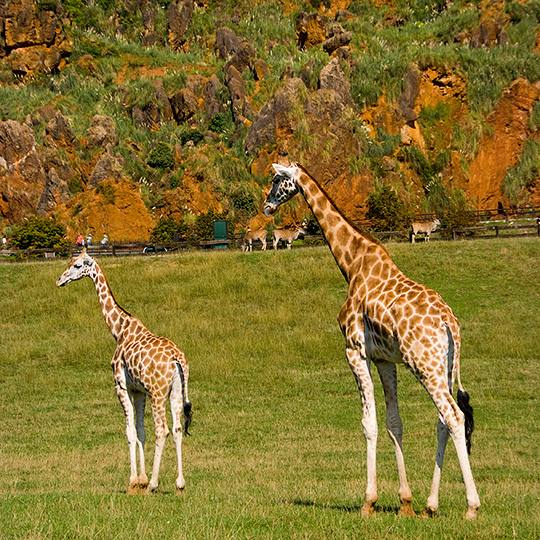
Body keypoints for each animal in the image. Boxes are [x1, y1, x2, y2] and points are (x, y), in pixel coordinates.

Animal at [56, 249, 192, 494]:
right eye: (70, 262)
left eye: (78, 265)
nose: (60, 280)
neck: (118, 330)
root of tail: (177, 360)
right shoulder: (138, 391)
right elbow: (140, 431)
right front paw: (141, 479)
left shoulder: (120, 385)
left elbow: (130, 432)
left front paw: (134, 481)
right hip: (177, 390)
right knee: (177, 429)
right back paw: (179, 483)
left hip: (158, 393)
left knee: (162, 430)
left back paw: (154, 485)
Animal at [264, 163, 478, 520]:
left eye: (277, 179)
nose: (267, 206)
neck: (351, 264)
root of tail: (450, 324)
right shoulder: (384, 359)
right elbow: (394, 423)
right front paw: (405, 503)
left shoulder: (354, 351)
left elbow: (370, 424)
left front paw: (369, 502)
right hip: (444, 365)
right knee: (443, 420)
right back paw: (430, 505)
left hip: (424, 364)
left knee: (453, 416)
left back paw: (472, 507)